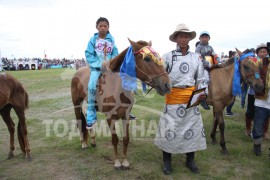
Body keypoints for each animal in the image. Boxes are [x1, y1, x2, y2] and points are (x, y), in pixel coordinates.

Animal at [70, 38, 171, 169]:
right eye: (147, 58)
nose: (167, 85)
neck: (116, 87)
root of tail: (77, 72)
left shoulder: (126, 116)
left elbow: (126, 138)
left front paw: (125, 161)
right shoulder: (110, 117)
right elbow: (115, 139)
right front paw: (117, 162)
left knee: (88, 119)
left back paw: (92, 140)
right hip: (76, 104)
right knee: (79, 121)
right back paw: (83, 143)